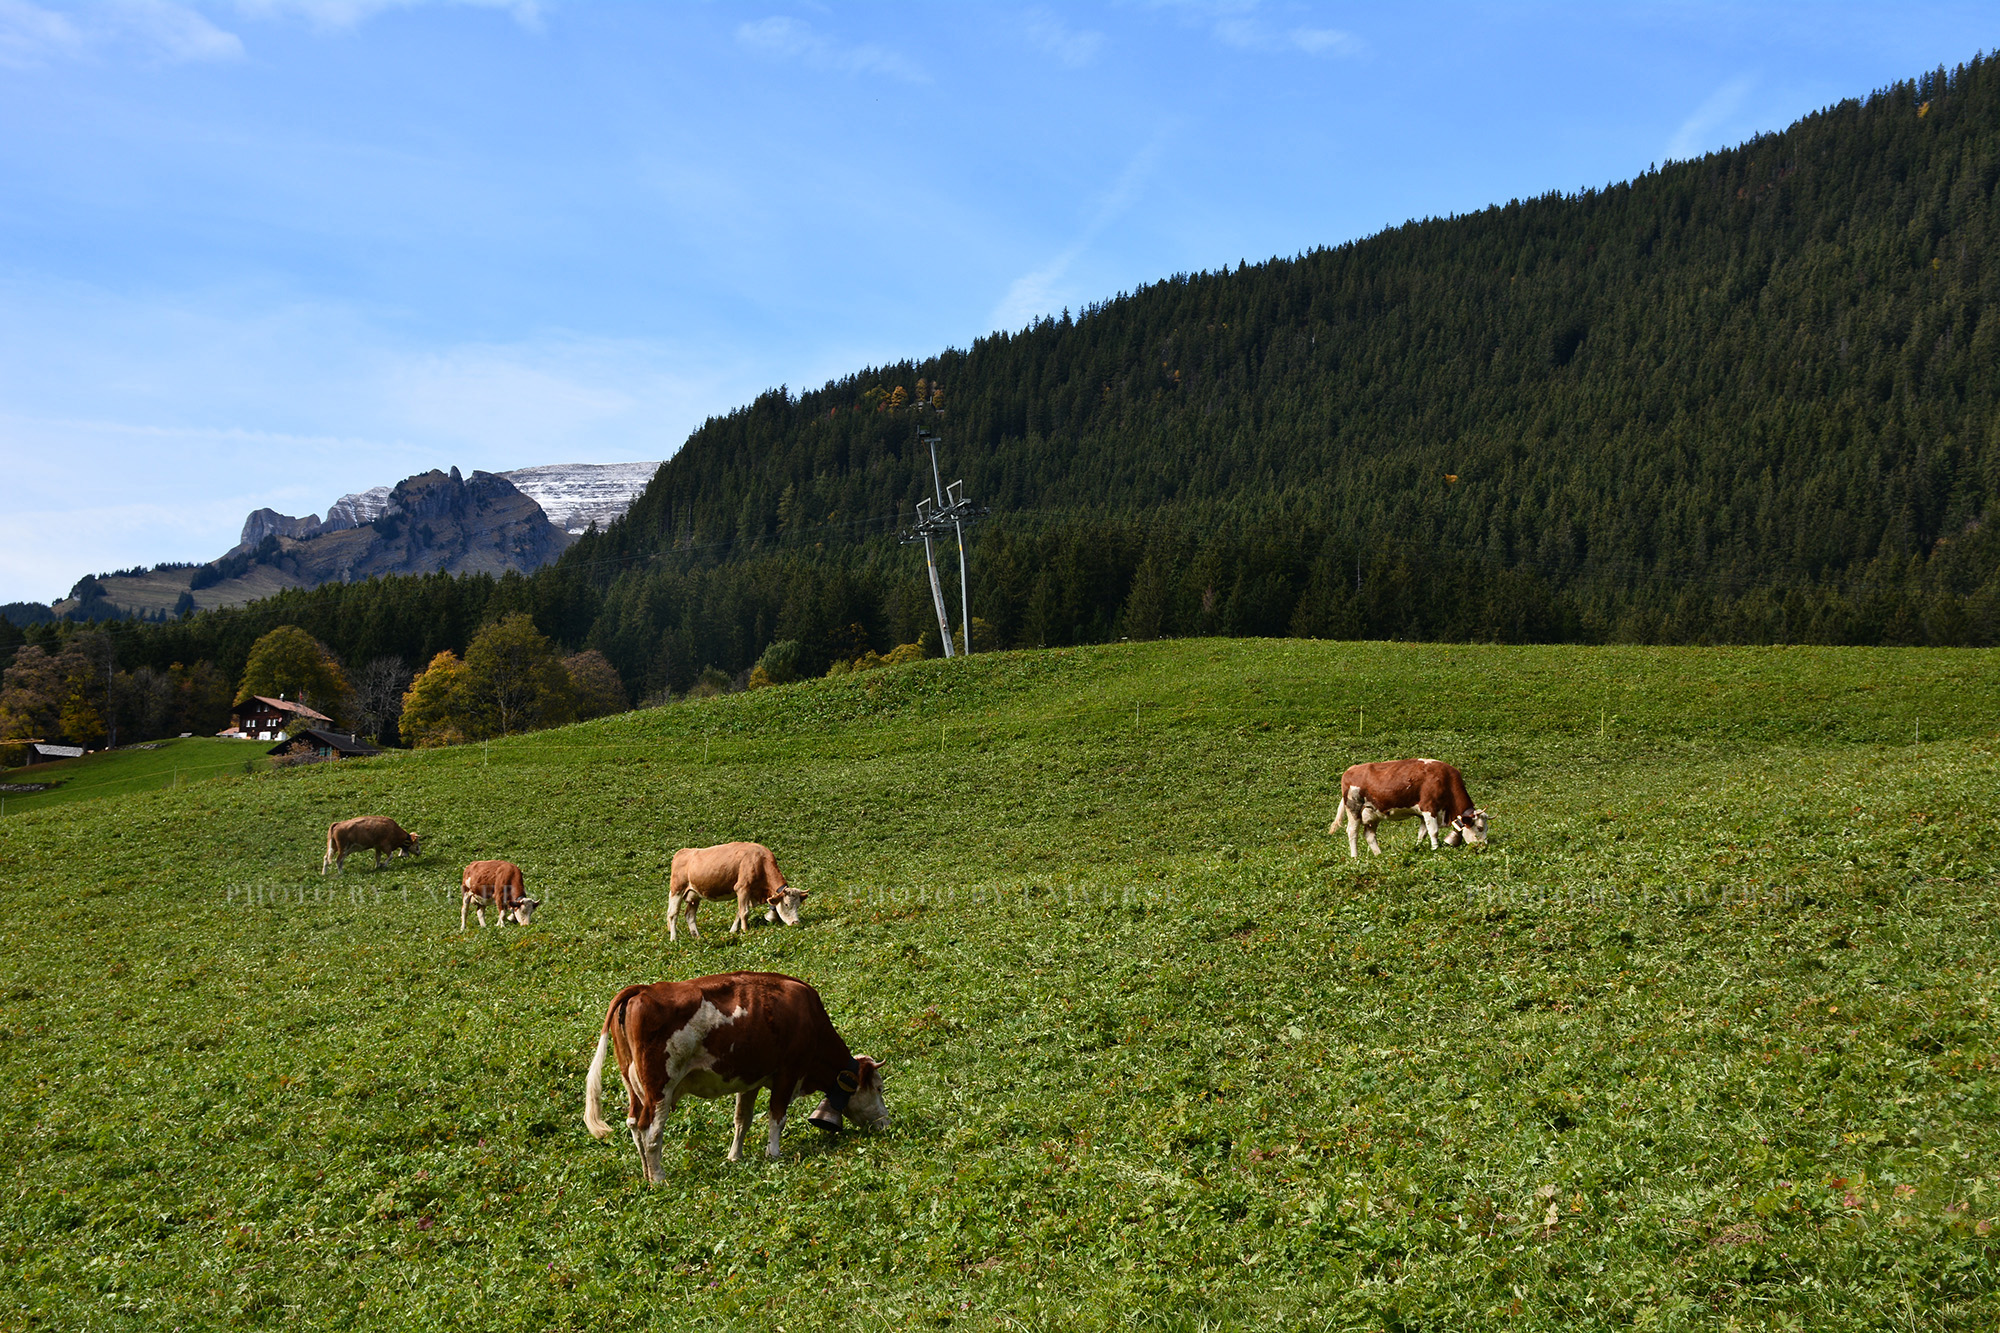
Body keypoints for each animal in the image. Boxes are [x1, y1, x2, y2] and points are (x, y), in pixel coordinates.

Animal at [584, 964, 888, 1176]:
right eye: (879, 1087)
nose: (886, 1123)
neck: (810, 1017)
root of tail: (643, 989)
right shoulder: (788, 1073)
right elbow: (777, 1117)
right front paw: (773, 1154)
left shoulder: (751, 1079)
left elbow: (742, 1120)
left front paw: (735, 1157)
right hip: (660, 1088)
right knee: (651, 1131)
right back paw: (659, 1178)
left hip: (634, 1087)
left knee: (634, 1124)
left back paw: (647, 1174)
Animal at [664, 836, 804, 940]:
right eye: (786, 904)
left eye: (798, 905)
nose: (796, 923)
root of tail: (683, 851)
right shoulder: (742, 888)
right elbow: (744, 912)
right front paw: (745, 931)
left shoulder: (748, 893)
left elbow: (739, 912)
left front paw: (733, 931)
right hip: (677, 889)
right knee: (672, 914)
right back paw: (674, 939)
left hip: (694, 894)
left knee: (689, 915)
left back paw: (697, 937)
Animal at [1328, 752, 1488, 856]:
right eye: (1480, 828)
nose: (1484, 848)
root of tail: (1351, 768)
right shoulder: (1429, 807)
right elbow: (1433, 831)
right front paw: (1436, 850)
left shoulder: (1424, 814)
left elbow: (1422, 833)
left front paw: (1418, 848)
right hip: (1354, 808)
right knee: (1352, 832)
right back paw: (1355, 857)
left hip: (1372, 813)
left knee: (1369, 835)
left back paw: (1379, 855)